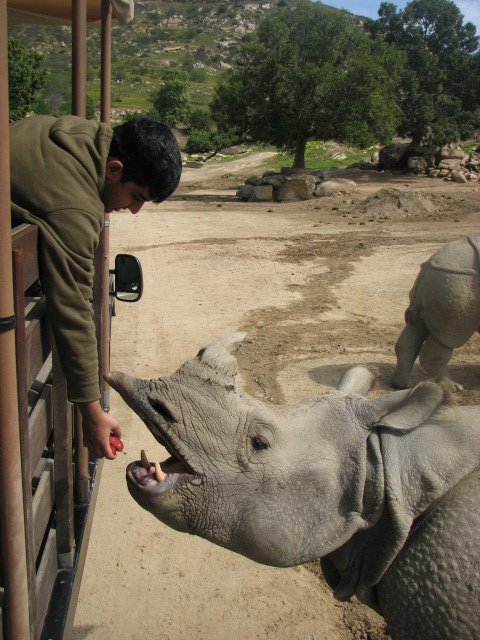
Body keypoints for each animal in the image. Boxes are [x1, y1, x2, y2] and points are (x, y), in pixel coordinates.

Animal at [392, 236, 480, 392]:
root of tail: (431, 263)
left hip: (442, 279)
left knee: (417, 325)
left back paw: (403, 385)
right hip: (457, 279)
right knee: (449, 336)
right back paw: (453, 387)